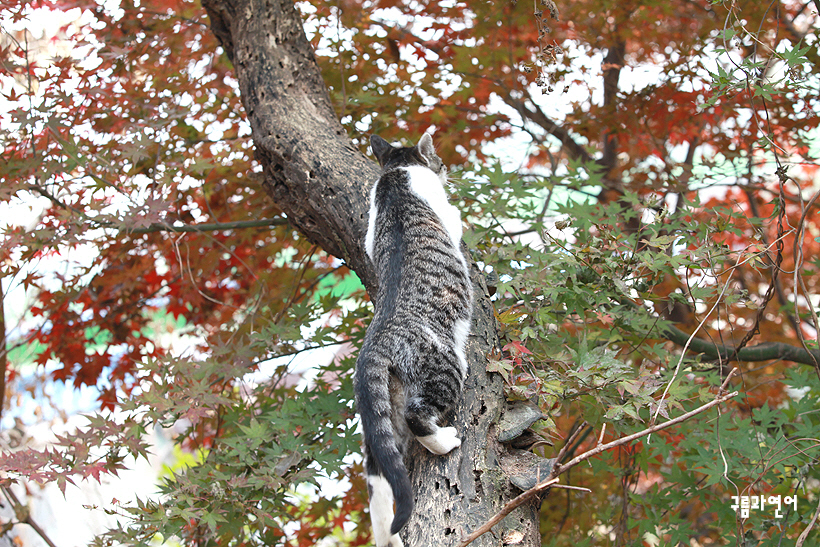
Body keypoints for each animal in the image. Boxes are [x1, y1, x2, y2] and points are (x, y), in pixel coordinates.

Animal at [354, 134, 474, 547]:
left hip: (382, 411)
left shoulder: (368, 235)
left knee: (378, 478)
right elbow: (456, 220)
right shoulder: (447, 214)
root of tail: (372, 348)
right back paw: (445, 440)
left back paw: (388, 538)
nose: (447, 168)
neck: (395, 174)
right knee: (417, 415)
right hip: (444, 366)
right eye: (439, 160)